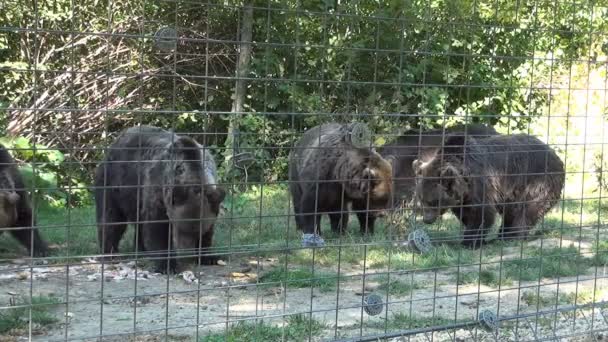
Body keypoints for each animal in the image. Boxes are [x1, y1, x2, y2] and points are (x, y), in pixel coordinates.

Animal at [94, 125, 227, 272]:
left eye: (197, 232)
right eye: (179, 229)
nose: (186, 252)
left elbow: (209, 230)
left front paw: (209, 257)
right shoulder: (158, 189)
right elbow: (156, 227)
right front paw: (168, 265)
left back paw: (141, 250)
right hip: (113, 183)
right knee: (111, 219)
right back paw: (110, 253)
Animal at [414, 134, 564, 248]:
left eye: (433, 201)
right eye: (421, 199)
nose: (427, 219)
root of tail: (554, 153)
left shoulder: (480, 183)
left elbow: (481, 213)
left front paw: (469, 241)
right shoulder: (463, 198)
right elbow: (466, 214)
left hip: (538, 180)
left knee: (527, 209)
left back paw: (513, 235)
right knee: (511, 211)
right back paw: (503, 234)